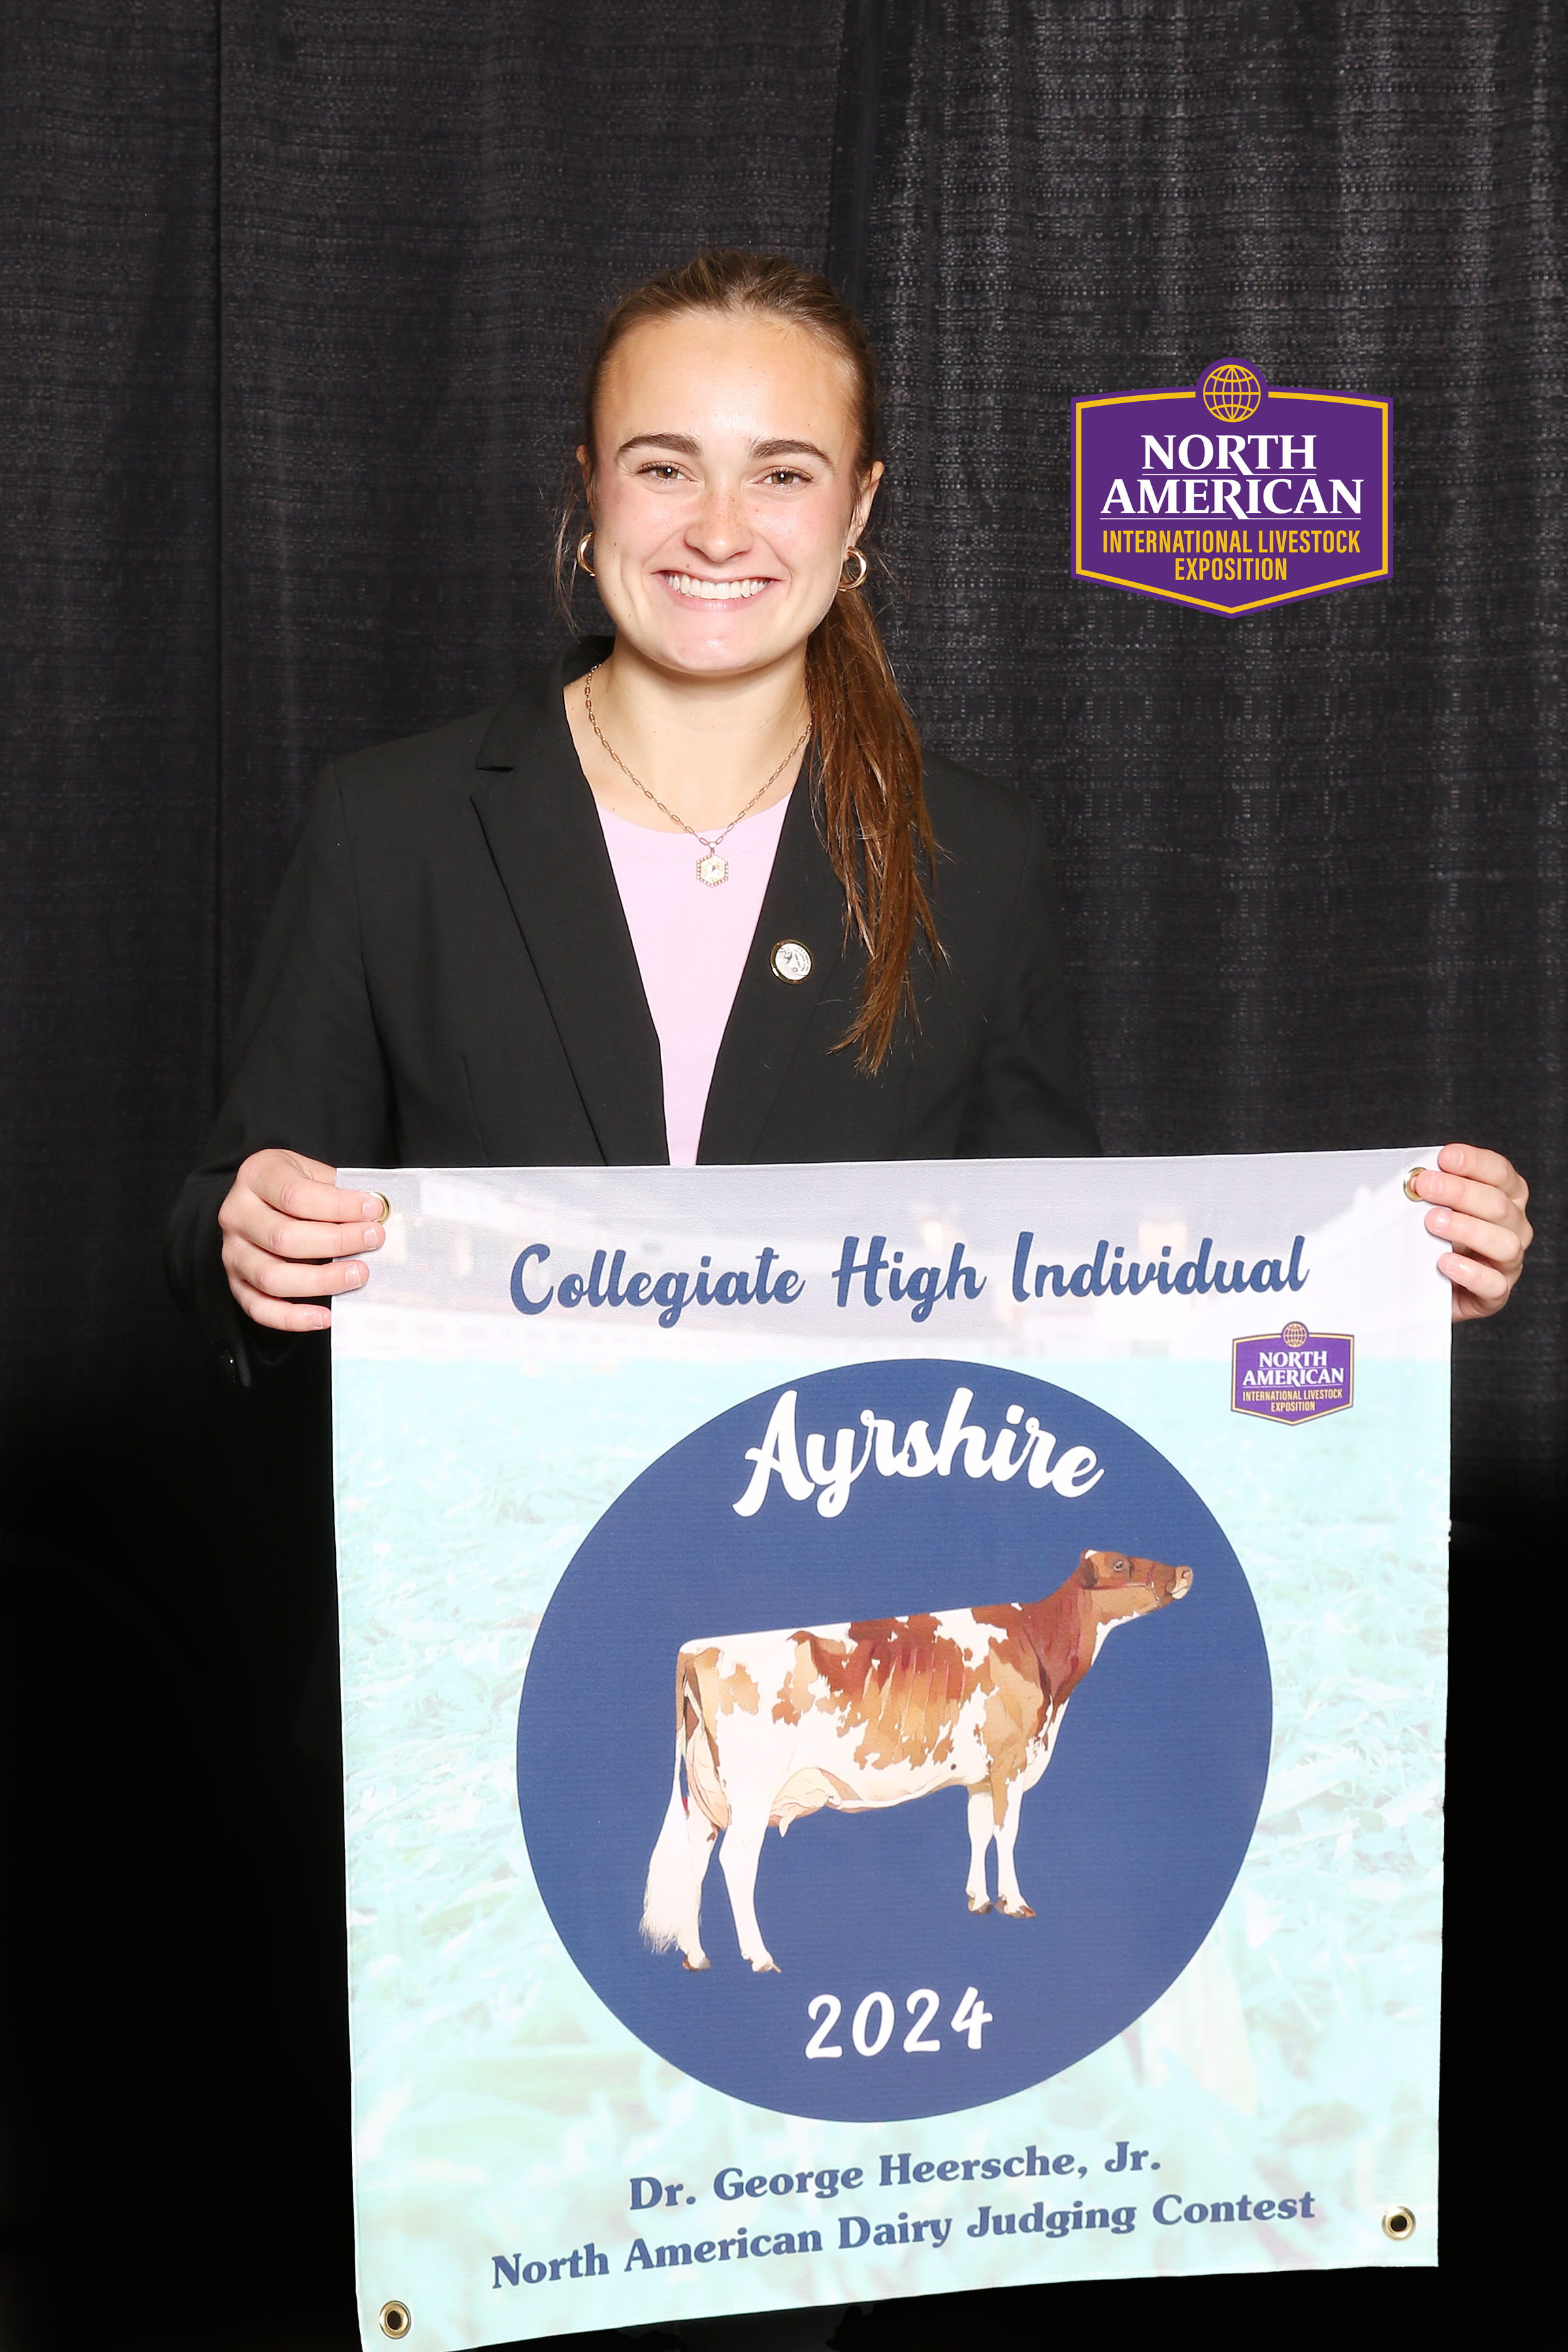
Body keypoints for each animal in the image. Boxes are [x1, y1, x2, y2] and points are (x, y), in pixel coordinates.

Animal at [644, 1552, 1194, 1976]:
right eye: (1120, 1564)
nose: (1185, 1571)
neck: (1039, 1649)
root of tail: (700, 1648)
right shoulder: (1011, 1761)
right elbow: (1007, 1833)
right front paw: (1015, 1903)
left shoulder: (981, 1775)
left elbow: (978, 1830)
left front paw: (979, 1900)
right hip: (752, 1791)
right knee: (736, 1862)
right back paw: (759, 1957)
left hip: (707, 1797)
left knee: (695, 1860)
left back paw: (696, 1956)